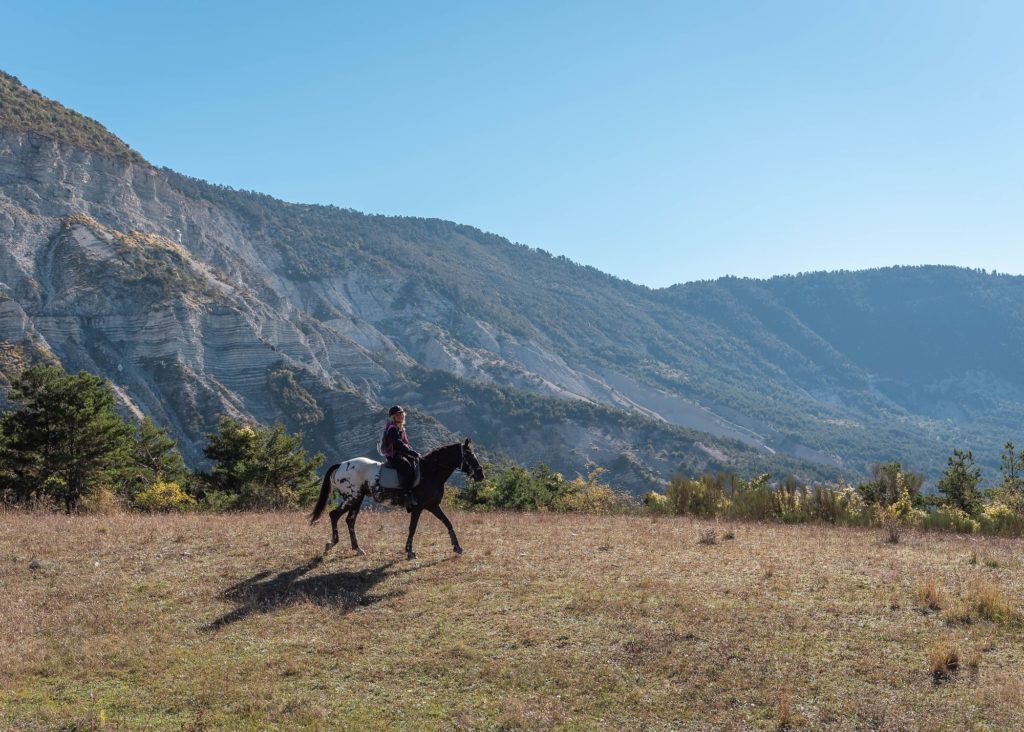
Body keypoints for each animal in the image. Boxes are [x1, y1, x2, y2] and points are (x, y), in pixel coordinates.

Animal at [309, 440, 485, 561]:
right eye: (469, 455)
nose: (480, 475)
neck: (431, 471)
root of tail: (341, 465)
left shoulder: (433, 506)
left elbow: (448, 523)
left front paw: (457, 547)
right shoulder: (418, 507)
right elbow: (412, 528)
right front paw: (410, 552)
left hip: (357, 499)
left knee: (349, 520)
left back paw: (357, 549)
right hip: (353, 497)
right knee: (334, 515)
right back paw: (331, 544)